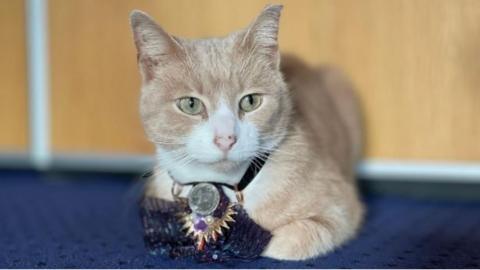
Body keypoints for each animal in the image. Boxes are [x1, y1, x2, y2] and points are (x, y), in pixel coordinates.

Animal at [129, 4, 362, 260]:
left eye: (251, 101)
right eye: (190, 104)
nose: (226, 139)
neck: (223, 185)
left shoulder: (340, 209)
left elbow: (282, 241)